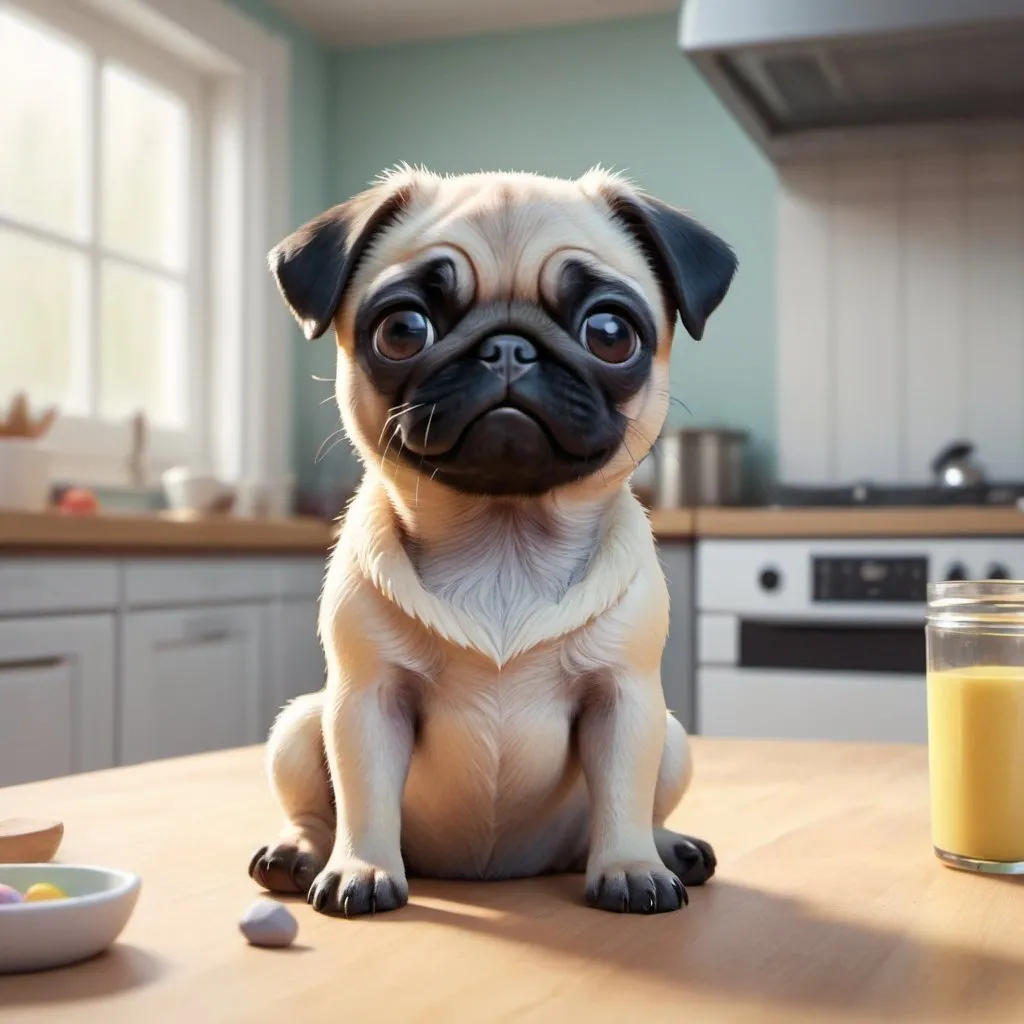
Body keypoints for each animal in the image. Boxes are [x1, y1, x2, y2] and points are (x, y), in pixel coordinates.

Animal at [247, 167, 737, 921]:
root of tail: (494, 871)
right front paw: (362, 868)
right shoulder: (366, 699)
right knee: (313, 804)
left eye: (609, 334)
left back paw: (666, 848)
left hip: (673, 736)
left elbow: (624, 794)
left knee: (645, 800)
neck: (503, 537)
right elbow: (363, 796)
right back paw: (298, 852)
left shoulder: (624, 699)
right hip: (303, 724)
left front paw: (629, 868)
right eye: (403, 329)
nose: (508, 346)